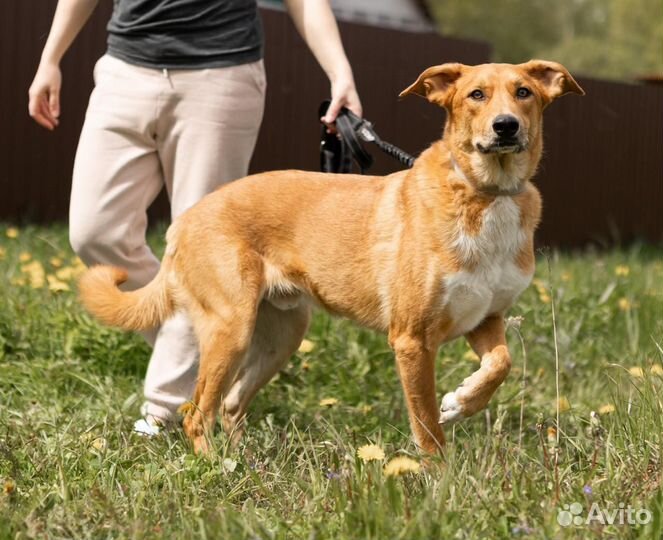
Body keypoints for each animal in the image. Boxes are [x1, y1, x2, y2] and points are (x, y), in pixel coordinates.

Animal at [80, 59, 584, 456]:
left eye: (523, 92)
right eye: (476, 95)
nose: (506, 126)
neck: (484, 193)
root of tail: (184, 219)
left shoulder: (485, 319)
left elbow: (500, 366)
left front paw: (460, 402)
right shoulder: (412, 340)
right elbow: (427, 427)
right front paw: (439, 482)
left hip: (282, 335)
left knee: (230, 404)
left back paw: (246, 462)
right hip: (231, 328)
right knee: (197, 411)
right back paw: (216, 468)